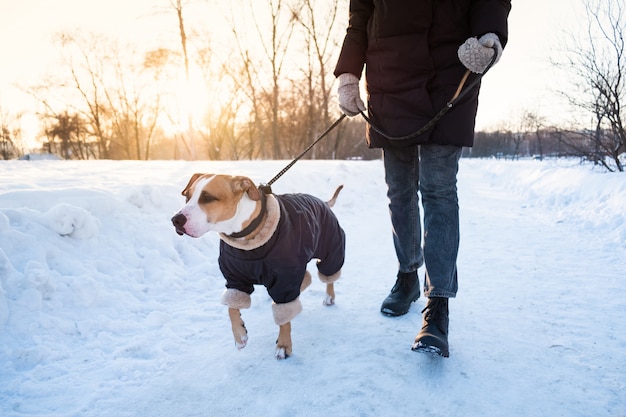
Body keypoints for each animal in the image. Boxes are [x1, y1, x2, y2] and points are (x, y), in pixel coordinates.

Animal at [171, 174, 344, 360]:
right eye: (187, 197)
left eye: (207, 197)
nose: (176, 220)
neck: (245, 239)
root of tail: (322, 201)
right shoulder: (235, 279)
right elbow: (232, 308)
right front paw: (239, 335)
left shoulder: (284, 279)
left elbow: (284, 317)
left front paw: (283, 345)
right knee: (306, 278)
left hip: (331, 247)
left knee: (329, 274)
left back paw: (329, 296)